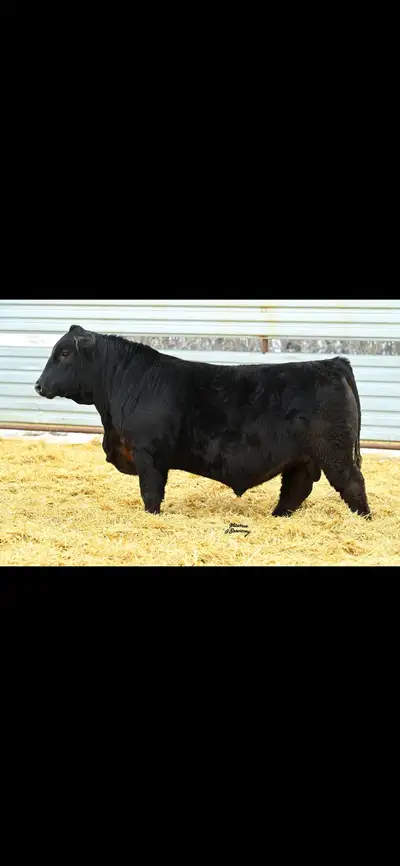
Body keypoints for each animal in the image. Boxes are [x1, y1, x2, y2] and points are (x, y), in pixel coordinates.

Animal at [34, 325, 371, 518]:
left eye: (64, 353)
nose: (38, 385)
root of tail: (332, 363)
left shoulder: (148, 455)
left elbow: (151, 492)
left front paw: (151, 518)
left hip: (335, 452)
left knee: (353, 484)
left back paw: (363, 519)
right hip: (301, 458)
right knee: (296, 489)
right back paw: (277, 516)